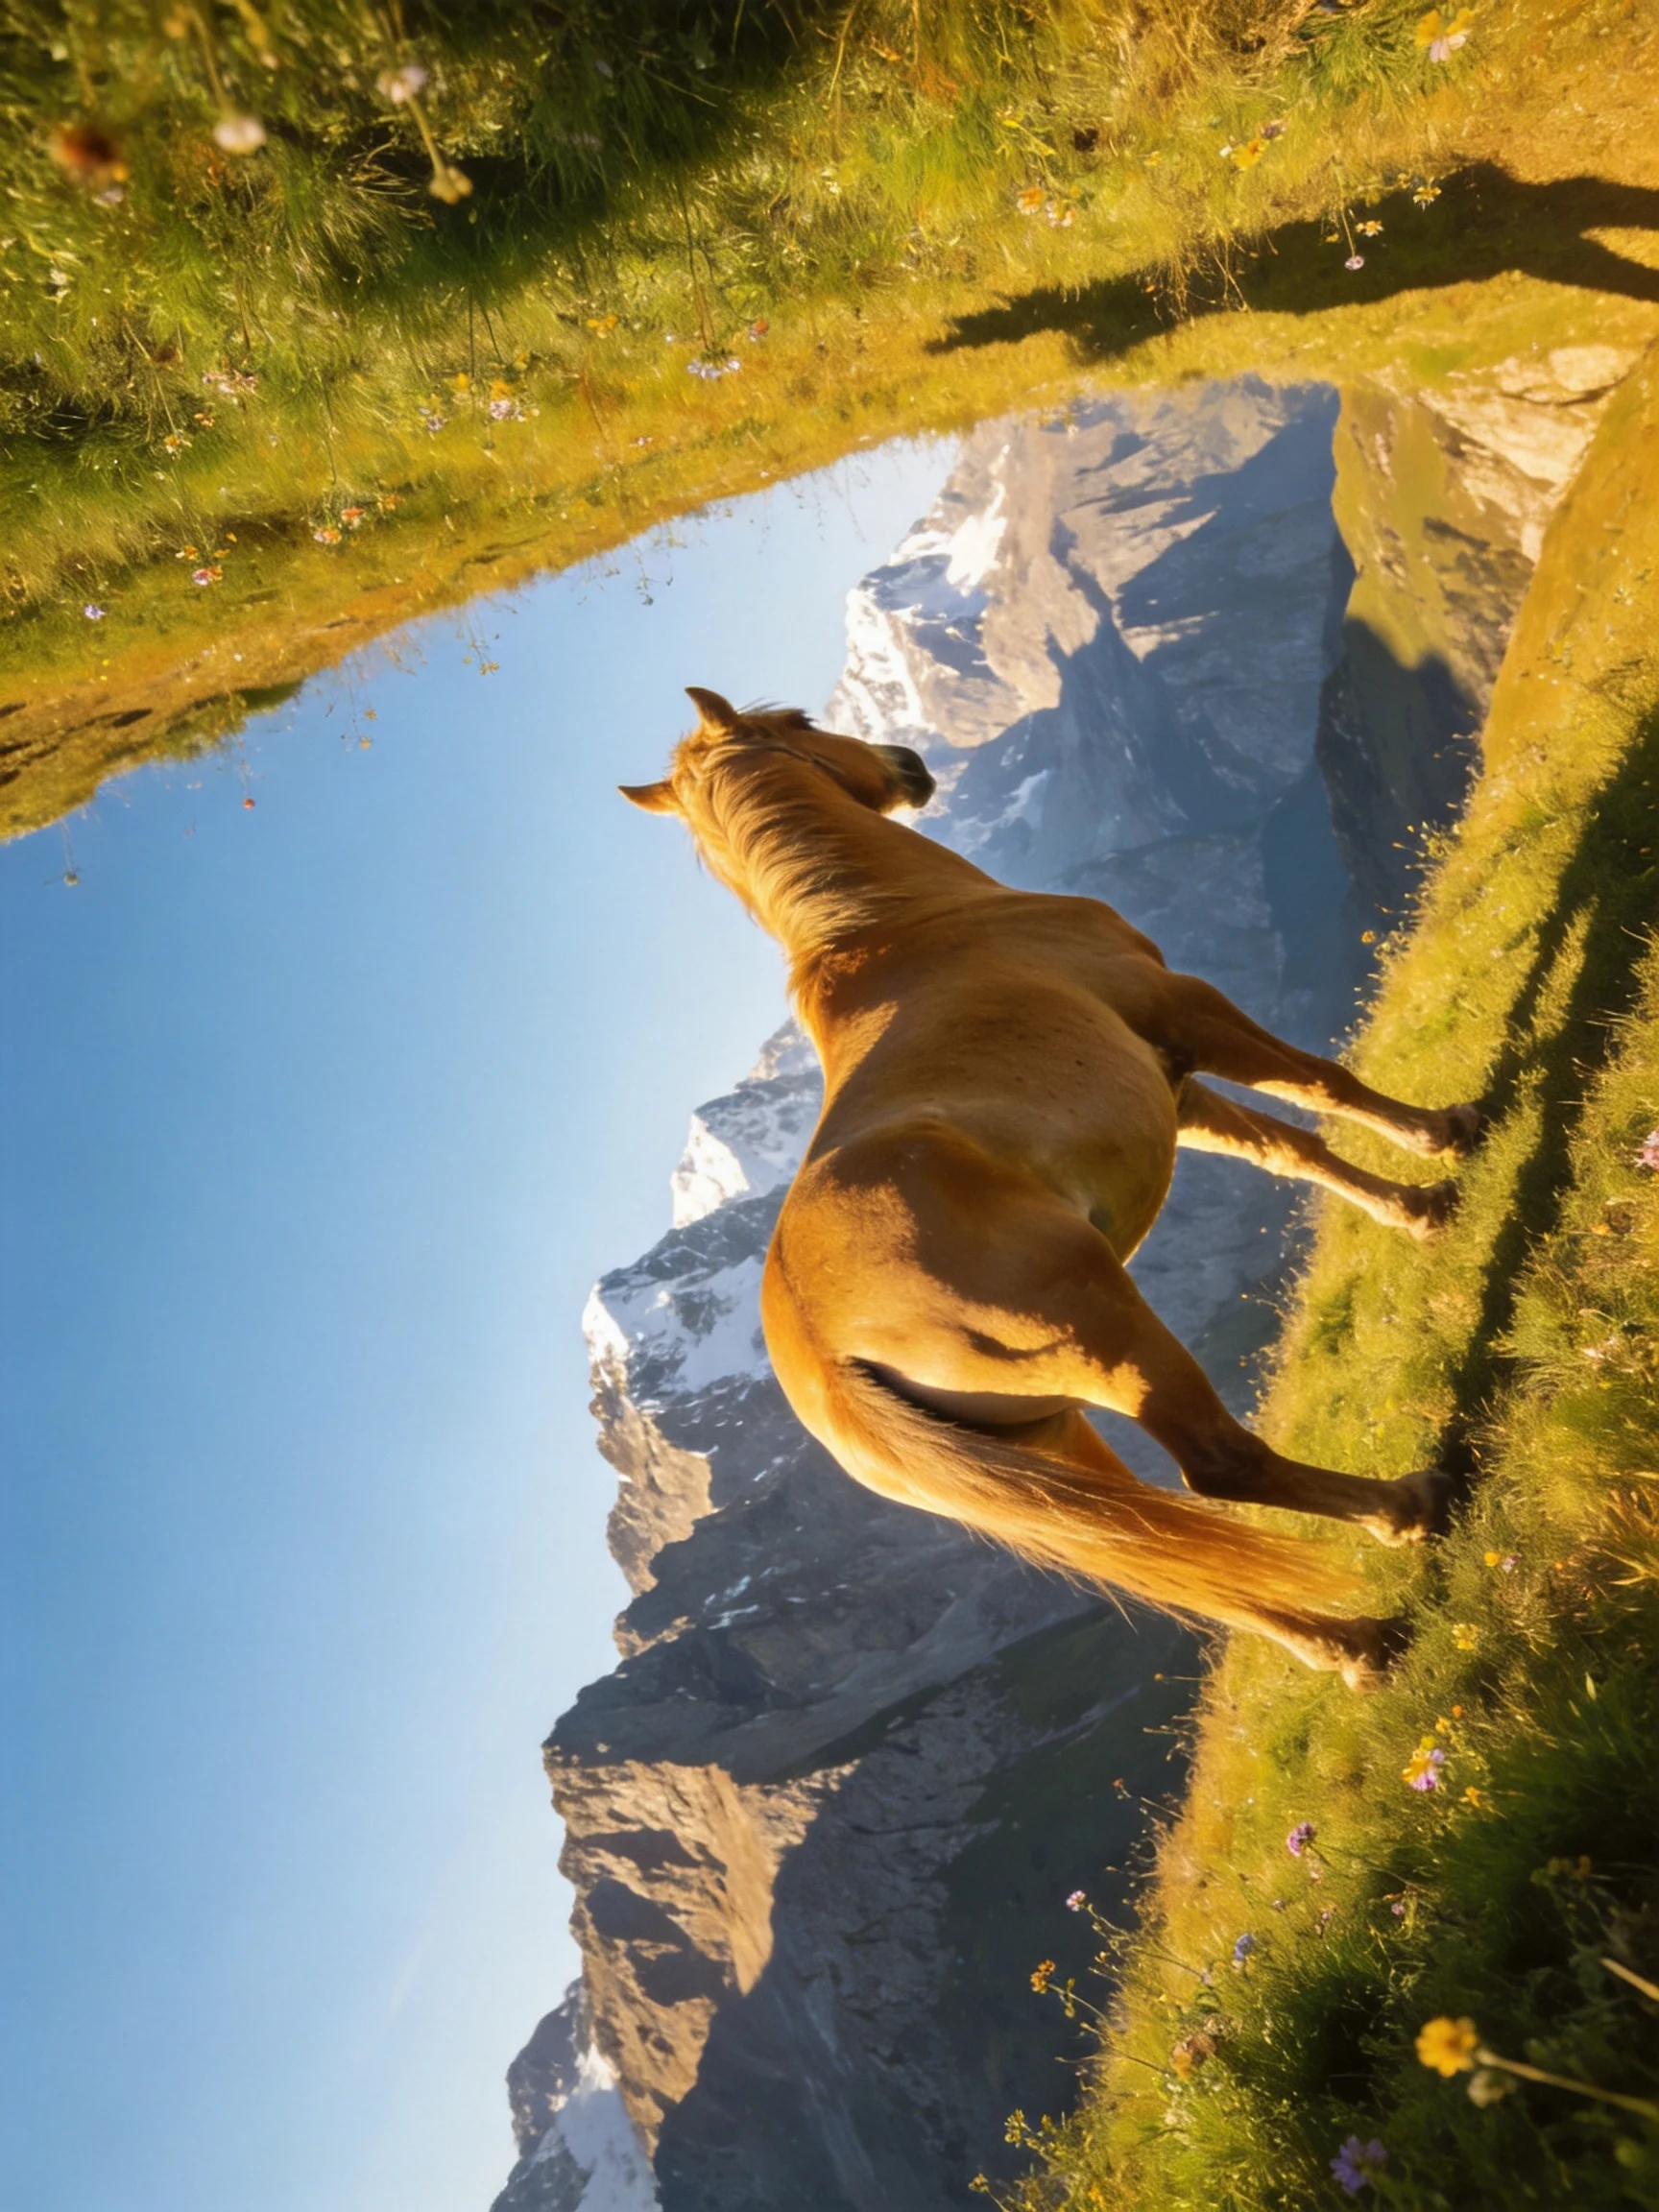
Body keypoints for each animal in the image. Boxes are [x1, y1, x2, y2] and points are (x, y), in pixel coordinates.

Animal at [621, 688, 1482, 1685]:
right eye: (801, 719)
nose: (909, 764)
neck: (898, 923)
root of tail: (825, 1357)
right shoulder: (1181, 1006)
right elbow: (1323, 1085)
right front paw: (1448, 1136)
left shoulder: (1173, 1082)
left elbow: (1289, 1148)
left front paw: (1419, 1209)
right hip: (1110, 1336)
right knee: (1218, 1467)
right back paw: (1411, 1508)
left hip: (1054, 1439)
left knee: (1168, 1553)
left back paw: (1362, 1646)